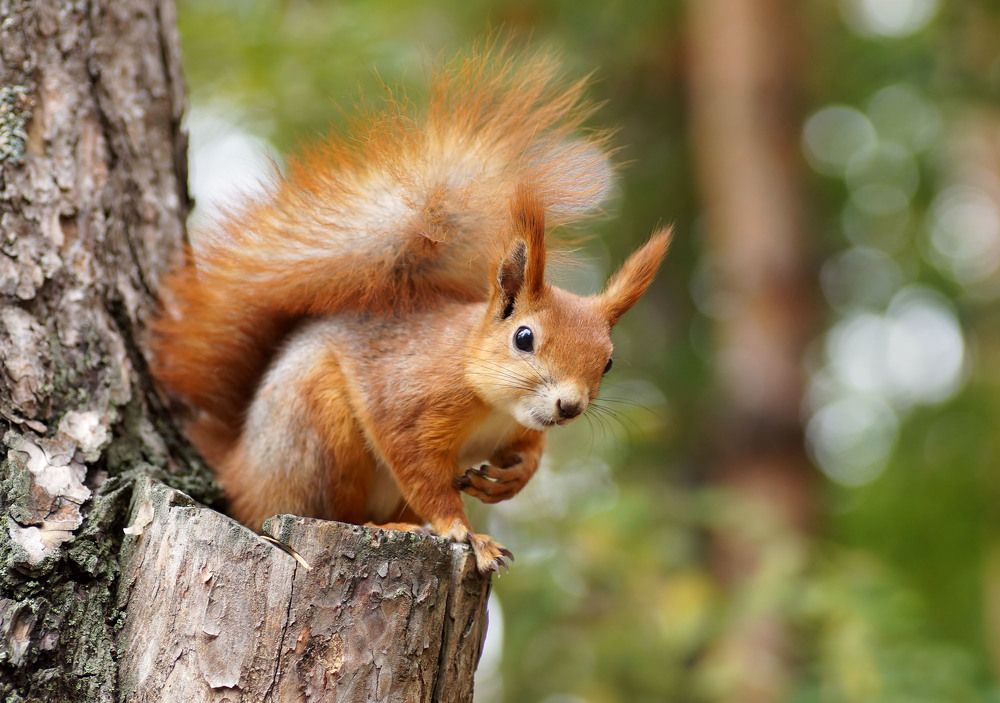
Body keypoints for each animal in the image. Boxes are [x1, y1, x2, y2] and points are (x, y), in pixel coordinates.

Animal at [151, 50, 670, 573]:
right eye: (524, 338)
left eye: (609, 361)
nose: (570, 405)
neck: (493, 403)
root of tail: (240, 469)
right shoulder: (407, 404)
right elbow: (420, 471)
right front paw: (464, 532)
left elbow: (528, 452)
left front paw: (513, 478)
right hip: (317, 434)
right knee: (330, 508)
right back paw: (390, 527)